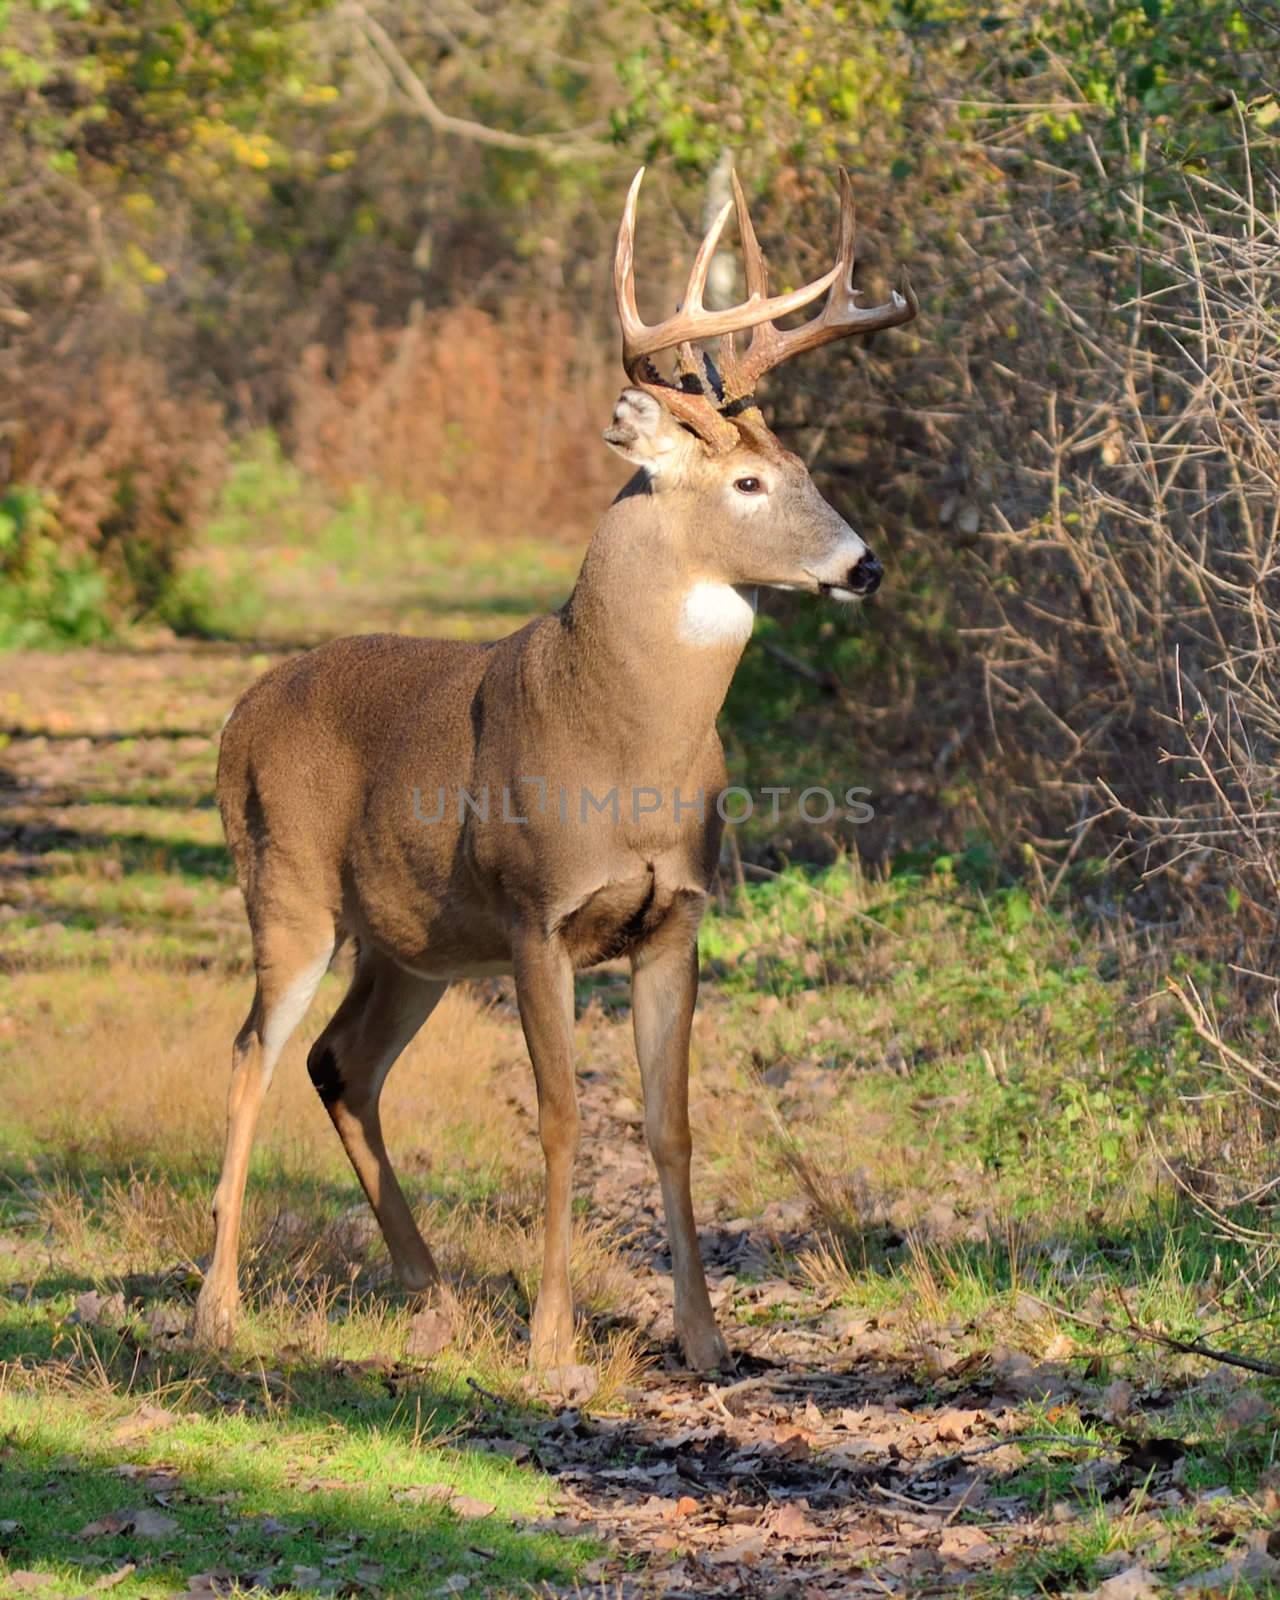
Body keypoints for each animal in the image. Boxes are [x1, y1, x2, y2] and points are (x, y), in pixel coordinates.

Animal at [195, 172, 915, 1376]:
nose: (862, 566)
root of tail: (239, 715)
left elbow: (670, 1123)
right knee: (252, 1052)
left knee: (341, 1062)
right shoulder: (538, 910)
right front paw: (549, 1337)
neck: (623, 743)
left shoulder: (676, 916)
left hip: (413, 942)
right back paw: (218, 1306)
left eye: (807, 472)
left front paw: (704, 1338)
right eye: (748, 480)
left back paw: (434, 1296)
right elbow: (563, 1115)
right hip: (286, 887)